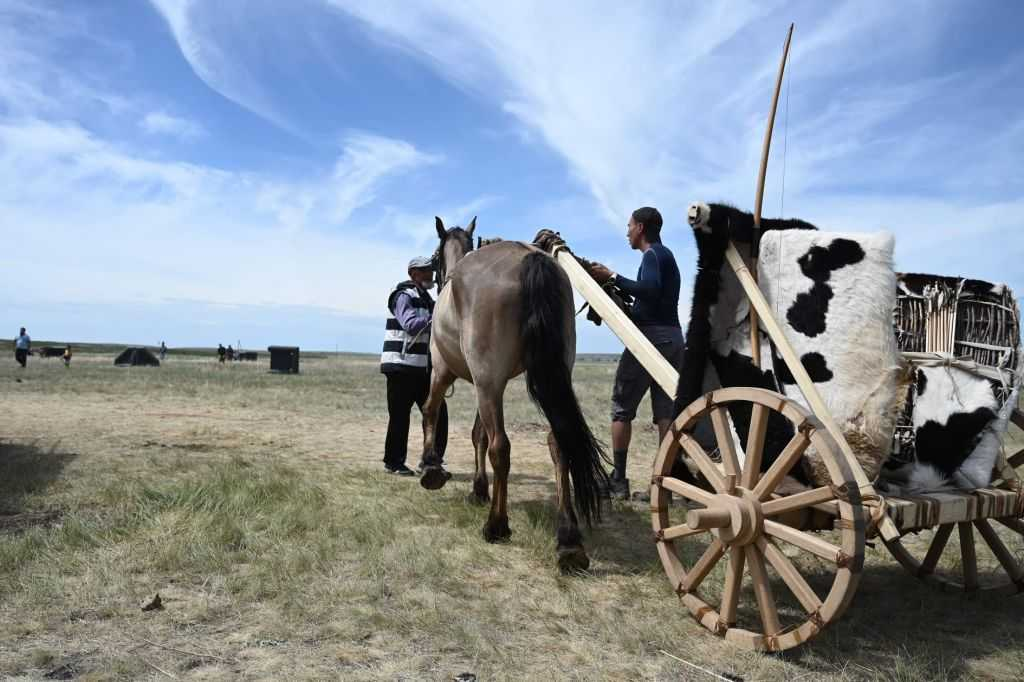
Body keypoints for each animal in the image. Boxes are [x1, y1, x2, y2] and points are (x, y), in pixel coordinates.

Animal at [415, 216, 606, 569]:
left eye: (433, 260)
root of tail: (528, 259)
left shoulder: (447, 372)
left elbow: (431, 410)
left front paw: (431, 466)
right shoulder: (485, 385)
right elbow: (478, 434)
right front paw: (479, 489)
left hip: (487, 381)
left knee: (501, 447)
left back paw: (496, 525)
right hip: (548, 376)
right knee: (559, 444)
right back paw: (569, 540)